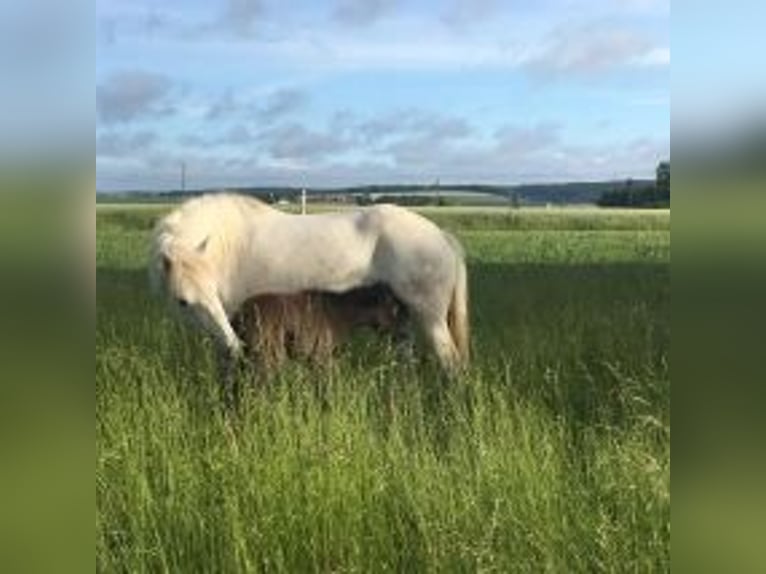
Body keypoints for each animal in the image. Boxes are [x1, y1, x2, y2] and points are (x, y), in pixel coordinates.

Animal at [153, 194, 472, 374]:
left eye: (211, 292)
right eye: (183, 301)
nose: (234, 346)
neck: (232, 244)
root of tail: (442, 236)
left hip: (431, 320)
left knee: (452, 365)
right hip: (400, 324)